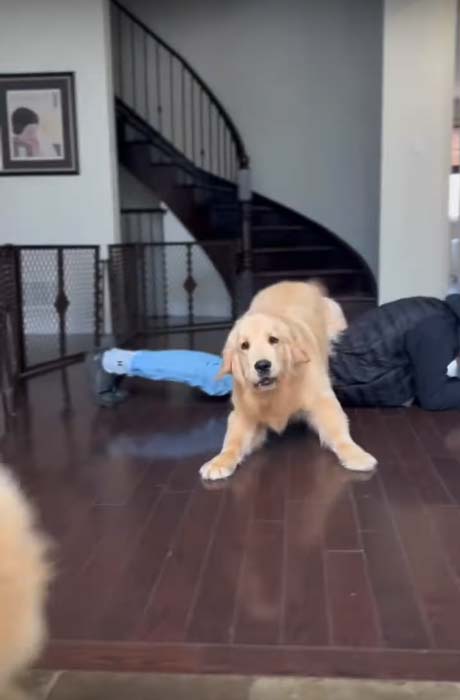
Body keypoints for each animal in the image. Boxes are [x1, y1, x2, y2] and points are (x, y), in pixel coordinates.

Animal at [201, 280, 378, 482]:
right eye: (244, 346)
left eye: (273, 340)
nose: (262, 365)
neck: (277, 390)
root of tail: (296, 282)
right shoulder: (244, 414)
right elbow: (232, 442)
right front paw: (219, 461)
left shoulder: (322, 401)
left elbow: (339, 432)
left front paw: (356, 454)